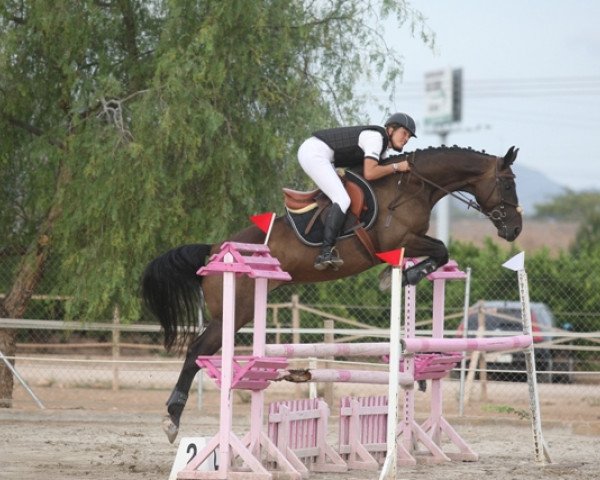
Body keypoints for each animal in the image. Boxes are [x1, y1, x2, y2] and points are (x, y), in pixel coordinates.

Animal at [139, 146, 520, 442]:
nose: (515, 230)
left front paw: (399, 276)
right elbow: (440, 248)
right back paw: (172, 418)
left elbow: (439, 252)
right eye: (507, 183)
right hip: (233, 313)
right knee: (196, 351)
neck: (412, 186)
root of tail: (214, 250)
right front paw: (402, 275)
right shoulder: (398, 240)